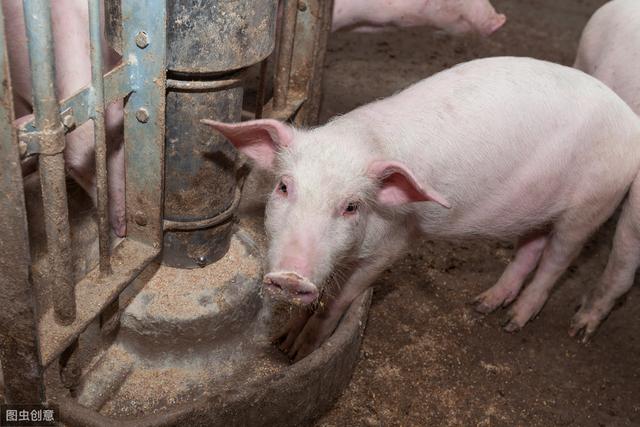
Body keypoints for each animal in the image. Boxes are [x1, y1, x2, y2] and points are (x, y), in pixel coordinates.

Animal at [205, 56, 640, 362]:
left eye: (351, 206)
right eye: (283, 186)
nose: (291, 277)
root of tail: (629, 119)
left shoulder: (393, 246)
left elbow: (339, 303)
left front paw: (301, 351)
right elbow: (322, 296)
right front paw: (283, 343)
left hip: (593, 202)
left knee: (557, 259)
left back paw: (514, 323)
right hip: (537, 208)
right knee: (531, 247)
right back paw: (484, 304)